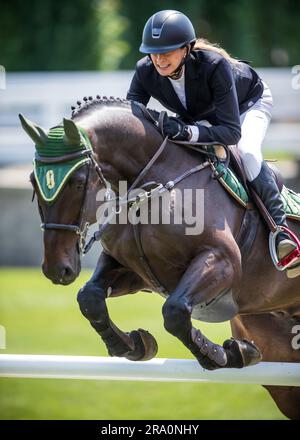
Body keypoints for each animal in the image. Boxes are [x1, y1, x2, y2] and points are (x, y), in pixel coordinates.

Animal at [19, 96, 300, 420]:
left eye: (77, 181)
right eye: (33, 180)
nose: (57, 268)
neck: (152, 183)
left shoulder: (223, 261)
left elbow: (175, 312)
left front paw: (226, 354)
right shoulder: (136, 271)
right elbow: (89, 298)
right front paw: (133, 345)